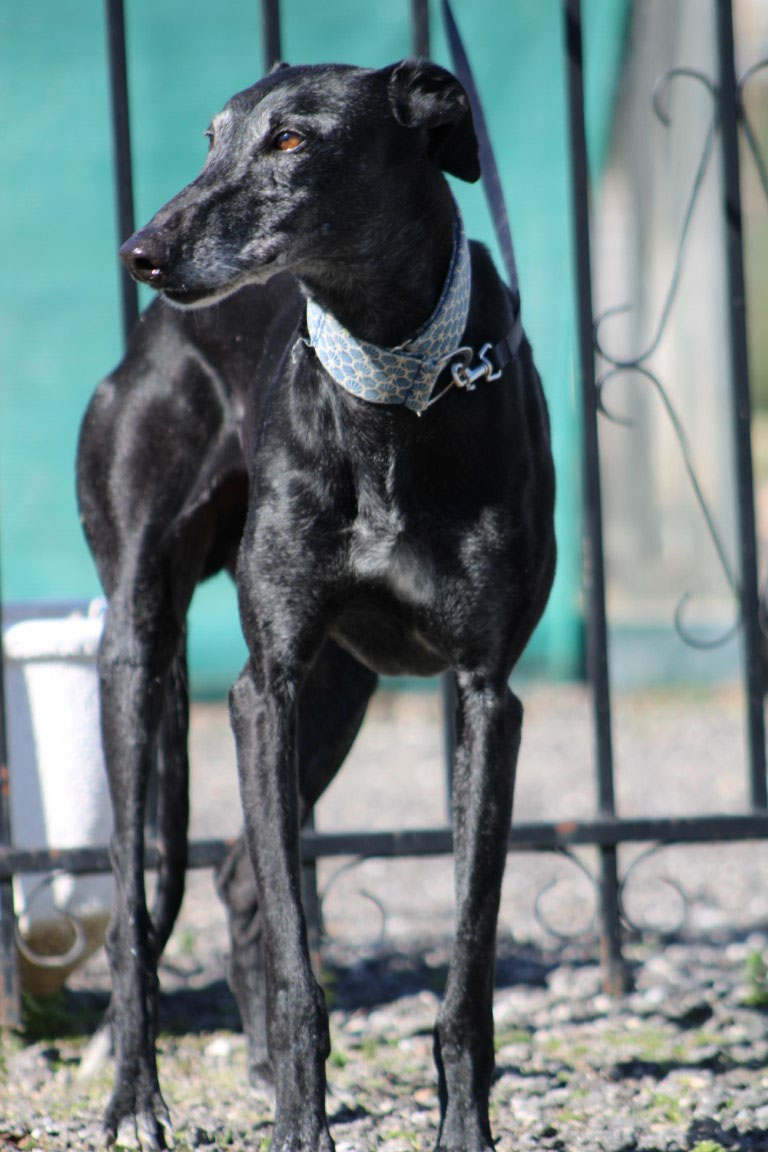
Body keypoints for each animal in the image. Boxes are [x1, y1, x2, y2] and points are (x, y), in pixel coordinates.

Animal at [77, 59, 555, 1151]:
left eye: (292, 140)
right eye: (212, 137)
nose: (142, 252)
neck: (391, 385)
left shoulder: (486, 697)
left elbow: (468, 965)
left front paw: (463, 1128)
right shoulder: (266, 688)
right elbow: (303, 971)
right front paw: (303, 1124)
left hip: (343, 690)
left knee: (236, 879)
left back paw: (252, 1068)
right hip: (142, 646)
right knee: (133, 911)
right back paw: (135, 1096)